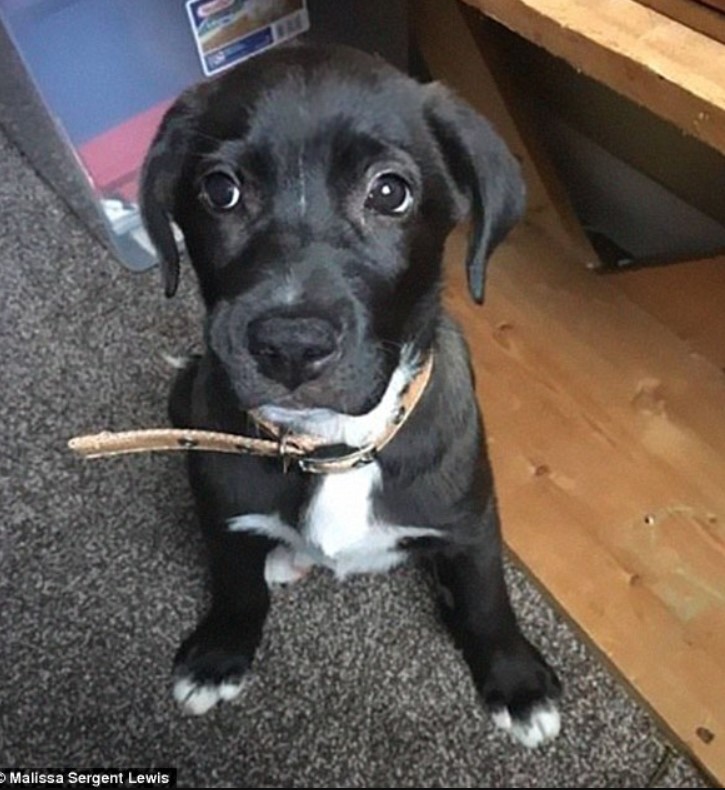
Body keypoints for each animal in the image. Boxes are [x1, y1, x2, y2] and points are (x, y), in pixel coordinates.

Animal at [140, 43, 560, 748]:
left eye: (390, 192)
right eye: (220, 190)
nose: (289, 346)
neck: (333, 446)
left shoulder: (473, 521)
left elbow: (486, 597)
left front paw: (517, 680)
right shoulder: (221, 513)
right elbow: (235, 584)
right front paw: (219, 652)